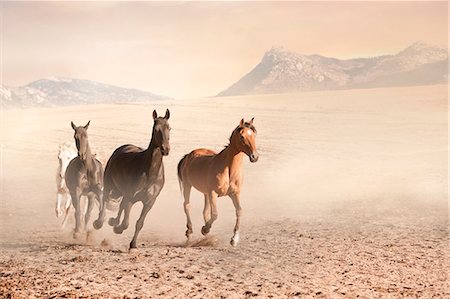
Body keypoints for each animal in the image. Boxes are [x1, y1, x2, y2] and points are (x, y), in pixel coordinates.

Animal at [94, 109, 171, 251]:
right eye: (156, 129)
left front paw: (133, 244)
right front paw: (118, 229)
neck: (150, 173)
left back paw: (113, 221)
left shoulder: (149, 202)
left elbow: (139, 223)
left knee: (120, 206)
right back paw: (99, 222)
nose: (165, 149)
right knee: (105, 199)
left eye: (169, 127)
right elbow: (126, 223)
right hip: (110, 185)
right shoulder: (131, 197)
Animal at [177, 118, 258, 247]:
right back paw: (190, 232)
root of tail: (188, 156)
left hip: (205, 193)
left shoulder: (235, 194)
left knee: (205, 211)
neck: (228, 170)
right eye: (242, 136)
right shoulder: (213, 193)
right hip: (187, 185)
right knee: (187, 205)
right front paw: (205, 229)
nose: (255, 156)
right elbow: (215, 214)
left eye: (254, 135)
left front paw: (234, 239)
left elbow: (239, 211)